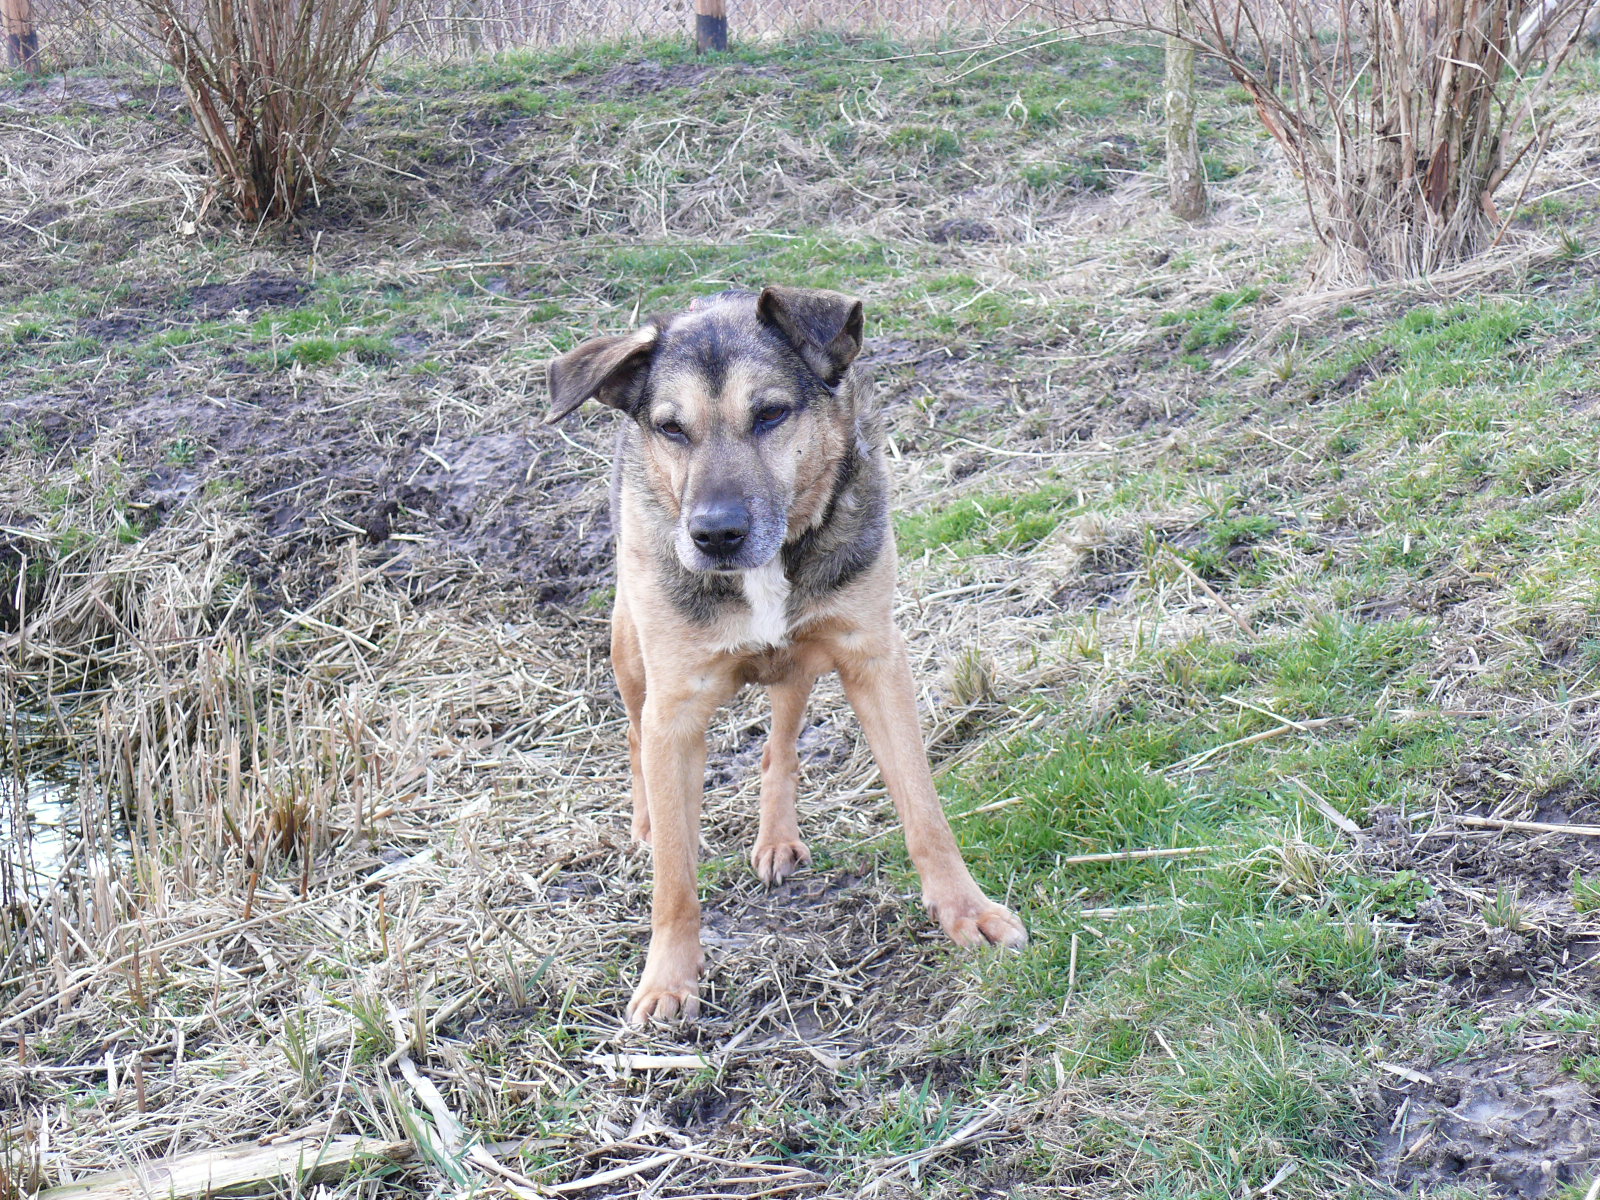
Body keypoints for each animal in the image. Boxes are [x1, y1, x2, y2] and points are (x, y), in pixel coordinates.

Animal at [546, 286, 1027, 1024]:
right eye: (671, 429)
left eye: (771, 412)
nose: (715, 534)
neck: (768, 566)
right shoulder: (675, 707)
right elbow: (674, 880)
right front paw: (667, 978)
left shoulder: (873, 661)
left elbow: (924, 811)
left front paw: (964, 910)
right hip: (629, 649)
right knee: (633, 737)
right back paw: (649, 822)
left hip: (799, 661)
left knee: (780, 745)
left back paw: (775, 837)